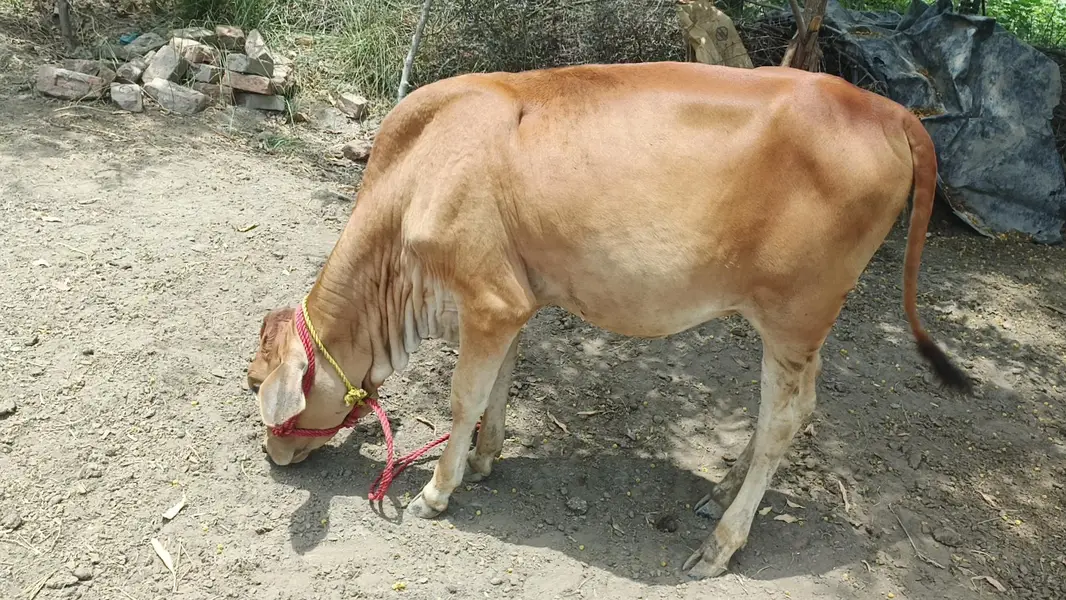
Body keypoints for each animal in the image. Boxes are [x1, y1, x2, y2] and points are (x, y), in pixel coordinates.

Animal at [245, 61, 970, 579]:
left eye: (255, 384)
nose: (271, 455)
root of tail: (888, 108)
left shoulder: (488, 298)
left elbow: (464, 397)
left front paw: (437, 490)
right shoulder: (511, 304)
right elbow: (499, 386)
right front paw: (484, 458)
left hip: (795, 316)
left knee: (784, 421)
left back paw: (721, 543)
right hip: (795, 329)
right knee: (790, 409)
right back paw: (720, 491)